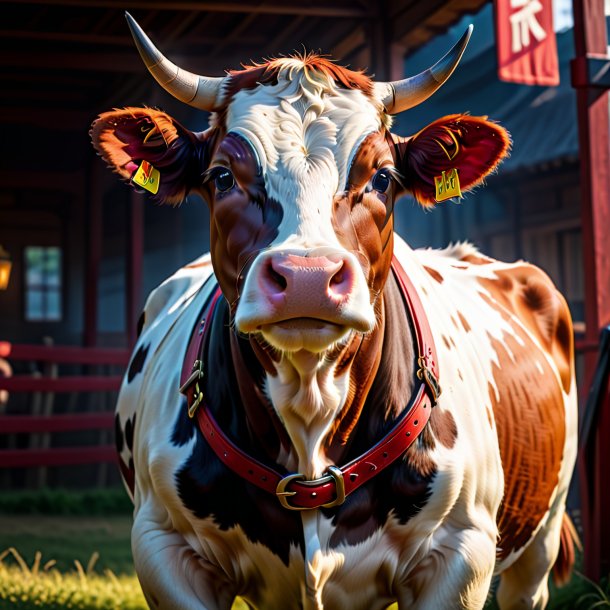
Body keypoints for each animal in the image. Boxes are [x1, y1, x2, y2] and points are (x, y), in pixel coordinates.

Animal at [92, 14, 576, 608]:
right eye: (223, 176)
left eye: (382, 177)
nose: (307, 278)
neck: (310, 401)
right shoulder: (165, 549)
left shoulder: (460, 554)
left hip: (540, 539)